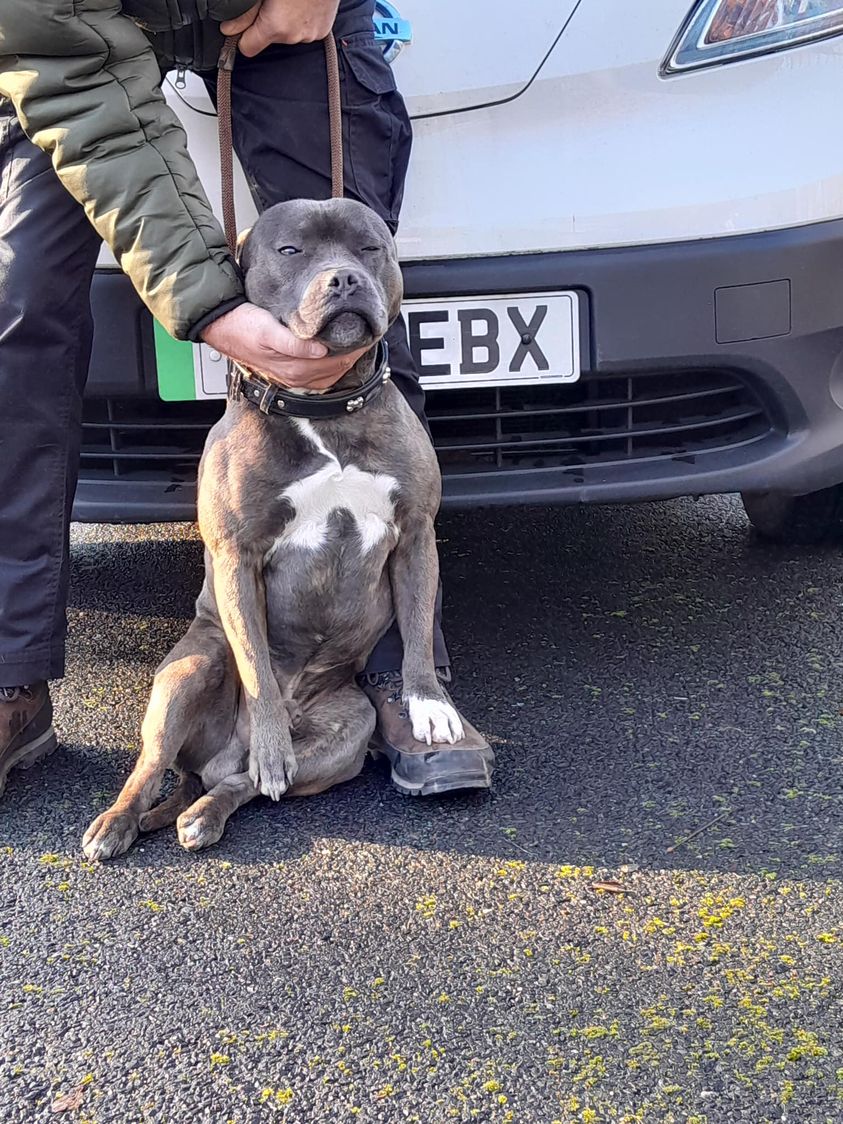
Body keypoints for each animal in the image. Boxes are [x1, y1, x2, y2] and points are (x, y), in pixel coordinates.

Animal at [82, 195, 465, 858]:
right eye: (292, 251)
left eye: (370, 247)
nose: (344, 279)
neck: (327, 409)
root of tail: (208, 762)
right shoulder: (237, 557)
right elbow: (257, 662)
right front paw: (268, 733)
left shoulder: (416, 535)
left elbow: (417, 629)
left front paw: (427, 703)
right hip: (189, 670)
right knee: (154, 764)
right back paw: (121, 820)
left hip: (347, 730)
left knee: (242, 784)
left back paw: (205, 813)